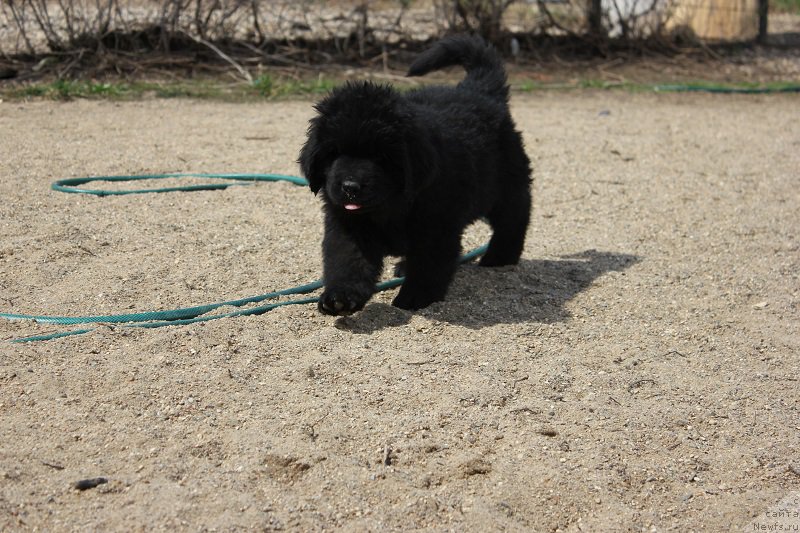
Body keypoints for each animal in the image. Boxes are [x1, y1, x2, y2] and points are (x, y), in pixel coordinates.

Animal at [298, 33, 532, 314]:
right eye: (334, 153)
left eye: (381, 157)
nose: (350, 186)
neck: (390, 208)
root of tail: (479, 91)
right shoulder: (349, 227)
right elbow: (348, 262)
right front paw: (340, 298)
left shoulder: (436, 226)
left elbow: (428, 266)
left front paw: (414, 298)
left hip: (505, 185)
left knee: (514, 218)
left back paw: (499, 257)